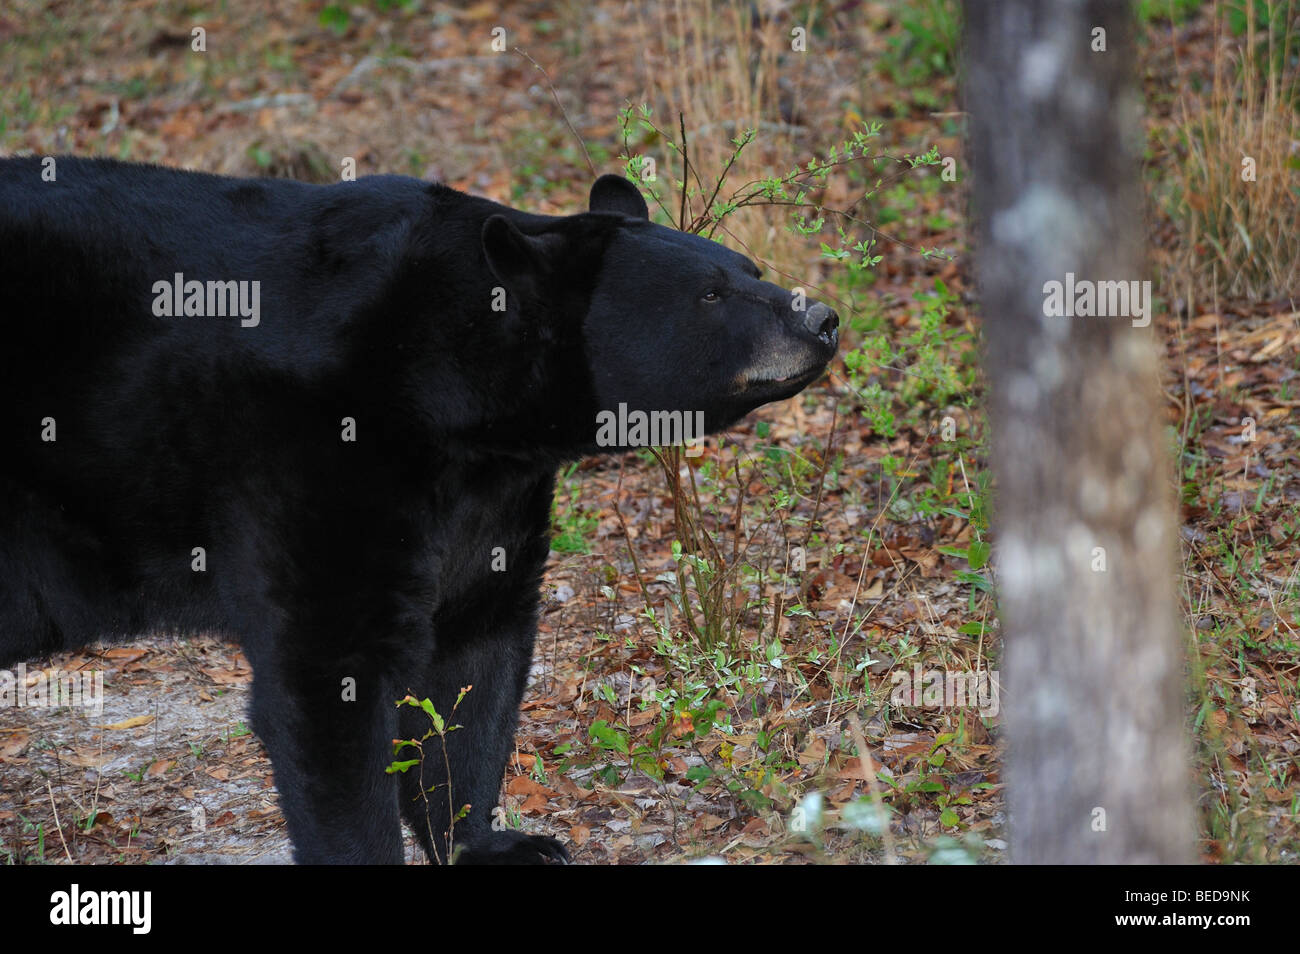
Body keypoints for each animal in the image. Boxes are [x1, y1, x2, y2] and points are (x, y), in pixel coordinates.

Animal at [0, 157, 838, 863]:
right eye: (712, 293)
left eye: (750, 268)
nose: (822, 318)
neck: (454, 394)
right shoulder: (315, 459)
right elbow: (328, 677)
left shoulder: (490, 499)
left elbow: (473, 657)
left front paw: (497, 842)